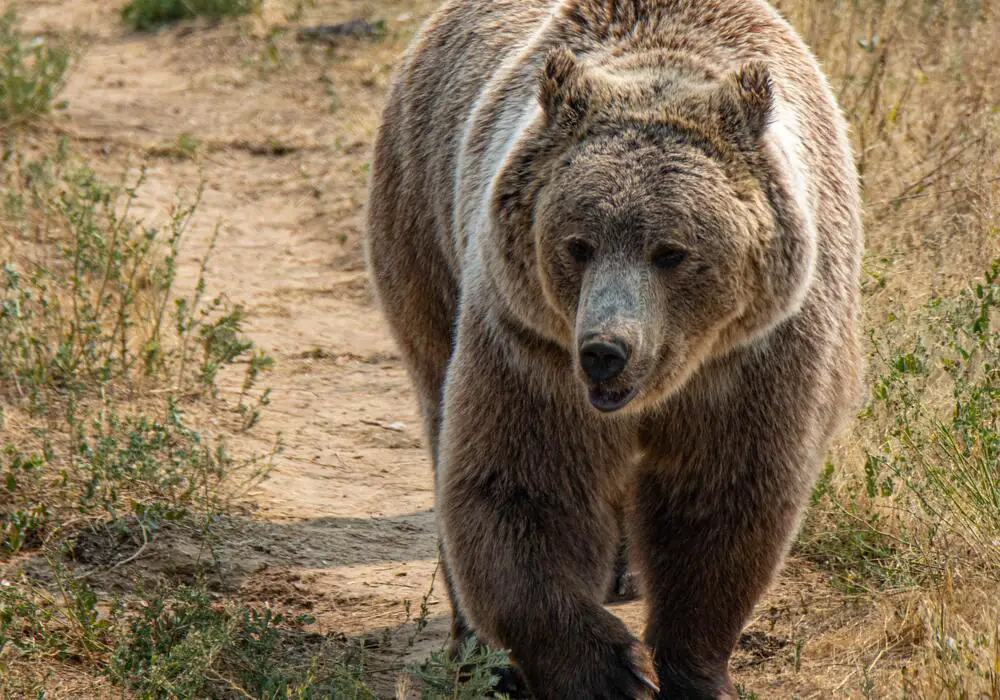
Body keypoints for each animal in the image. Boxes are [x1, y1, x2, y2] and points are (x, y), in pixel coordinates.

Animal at [364, 1, 863, 698]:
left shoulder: (760, 353)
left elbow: (721, 497)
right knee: (438, 404)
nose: (606, 350)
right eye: (579, 243)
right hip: (425, 227)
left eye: (671, 251)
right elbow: (523, 486)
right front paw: (610, 670)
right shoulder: (531, 343)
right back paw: (479, 653)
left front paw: (690, 668)